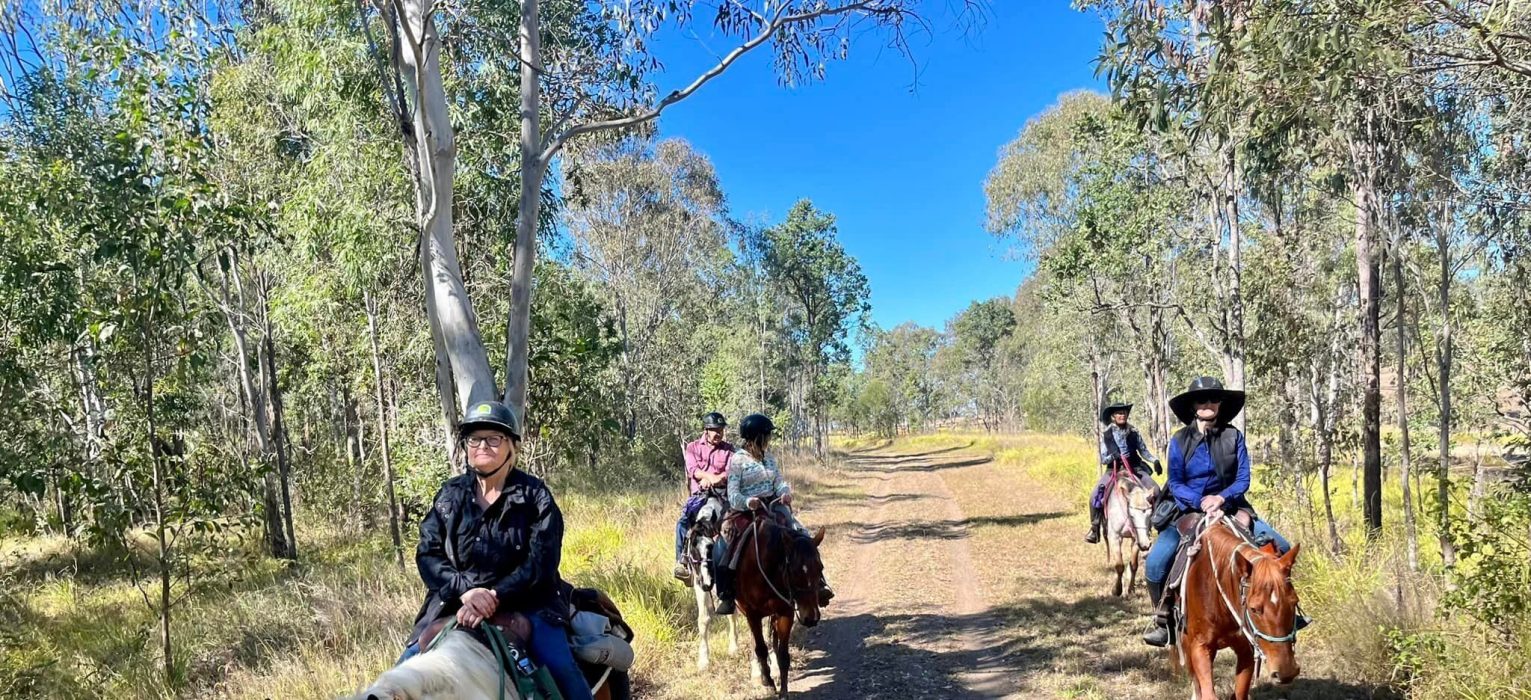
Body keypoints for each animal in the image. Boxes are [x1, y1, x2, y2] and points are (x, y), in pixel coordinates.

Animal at [728, 502, 826, 698]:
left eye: (820, 568)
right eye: (794, 571)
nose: (811, 617)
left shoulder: (785, 612)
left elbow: (783, 654)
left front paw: (784, 690)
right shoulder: (752, 614)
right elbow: (760, 648)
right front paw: (768, 683)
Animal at [1102, 459, 1151, 594]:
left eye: (1150, 514)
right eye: (1132, 515)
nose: (1146, 545)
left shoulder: (1136, 539)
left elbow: (1134, 565)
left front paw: (1131, 589)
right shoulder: (1115, 537)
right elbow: (1119, 565)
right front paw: (1117, 590)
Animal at [1169, 511, 1304, 698]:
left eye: (1294, 602)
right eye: (1254, 609)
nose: (1285, 673)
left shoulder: (1246, 650)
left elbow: (1239, 693)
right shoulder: (1199, 647)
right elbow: (1207, 692)